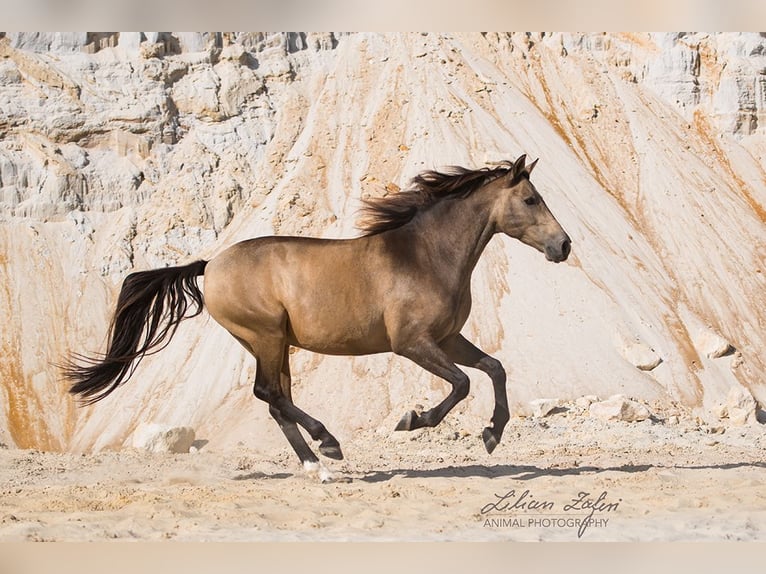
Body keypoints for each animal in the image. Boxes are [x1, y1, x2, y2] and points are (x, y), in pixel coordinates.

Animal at [64, 154, 571, 481]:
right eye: (531, 200)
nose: (563, 246)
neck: (426, 255)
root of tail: (210, 264)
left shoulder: (447, 339)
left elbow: (494, 369)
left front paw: (492, 434)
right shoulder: (412, 343)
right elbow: (462, 384)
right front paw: (411, 420)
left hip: (274, 344)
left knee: (276, 401)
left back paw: (316, 466)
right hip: (265, 336)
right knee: (269, 393)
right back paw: (329, 445)